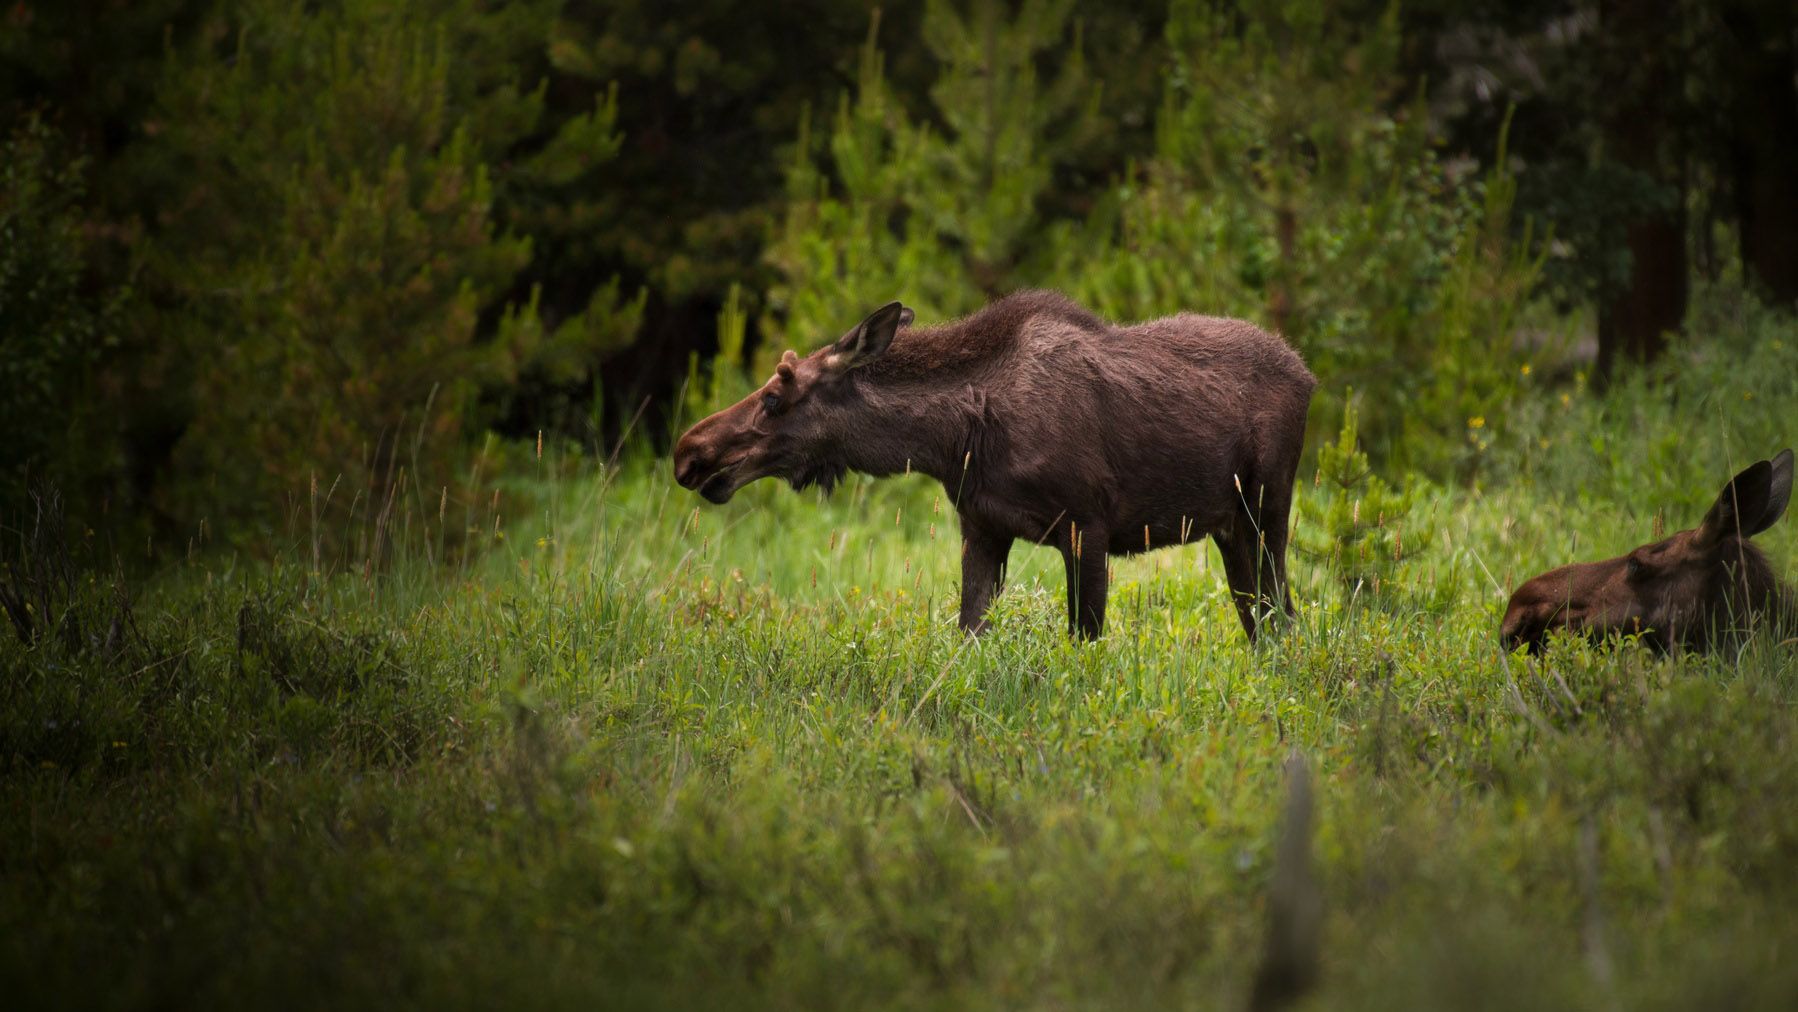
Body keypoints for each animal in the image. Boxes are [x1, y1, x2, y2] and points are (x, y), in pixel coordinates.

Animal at [676, 291, 1323, 639]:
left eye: (774, 395)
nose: (690, 454)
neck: (955, 439)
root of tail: (1308, 375)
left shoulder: (1087, 525)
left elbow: (1084, 639)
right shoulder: (982, 527)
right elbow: (970, 632)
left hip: (1268, 507)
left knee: (1283, 617)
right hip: (1230, 526)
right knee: (1263, 621)